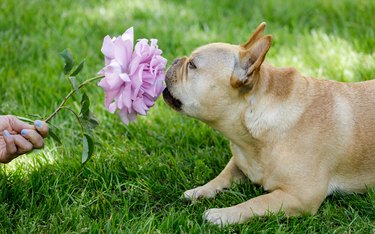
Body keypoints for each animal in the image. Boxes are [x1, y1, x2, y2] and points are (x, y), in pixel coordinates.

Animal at [162, 22, 375, 225]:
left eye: (192, 65)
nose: (175, 60)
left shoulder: (301, 197)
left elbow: (257, 201)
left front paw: (222, 214)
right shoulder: (240, 161)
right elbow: (223, 175)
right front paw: (200, 190)